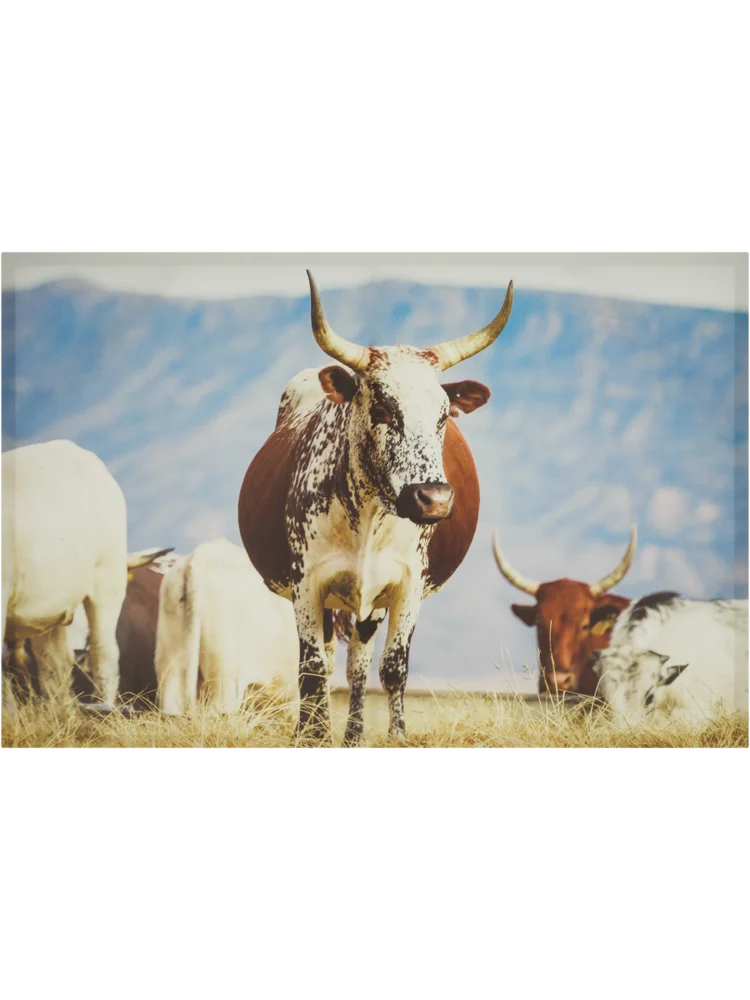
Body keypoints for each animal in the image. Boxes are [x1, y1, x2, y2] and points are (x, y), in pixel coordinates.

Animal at [239, 270, 514, 745]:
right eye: (384, 408)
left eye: (444, 415)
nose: (434, 499)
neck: (368, 517)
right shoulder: (307, 584)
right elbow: (312, 669)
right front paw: (311, 738)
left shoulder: (408, 586)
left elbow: (393, 667)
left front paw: (396, 736)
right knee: (325, 662)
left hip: (370, 604)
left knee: (358, 664)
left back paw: (352, 735)